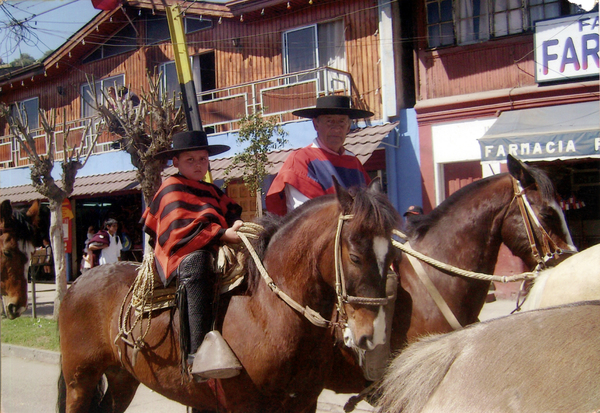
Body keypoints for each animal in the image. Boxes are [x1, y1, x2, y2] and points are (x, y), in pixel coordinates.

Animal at [58, 179, 400, 410]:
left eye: (392, 255)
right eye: (355, 257)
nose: (372, 335)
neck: (267, 313)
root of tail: (77, 285)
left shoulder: (303, 403)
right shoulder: (243, 405)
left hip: (121, 377)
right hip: (80, 380)